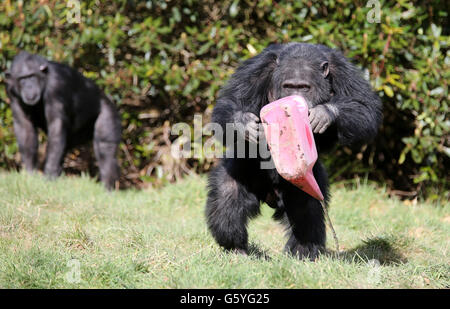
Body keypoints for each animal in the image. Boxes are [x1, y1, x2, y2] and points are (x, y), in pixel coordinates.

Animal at [4, 50, 121, 189]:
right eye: (22, 79)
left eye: (32, 76)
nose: (29, 86)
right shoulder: (10, 90)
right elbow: (24, 127)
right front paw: (30, 173)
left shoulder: (56, 85)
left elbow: (56, 125)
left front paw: (48, 175)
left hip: (108, 113)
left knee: (105, 148)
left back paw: (107, 187)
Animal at [206, 43, 382, 258]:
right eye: (290, 86)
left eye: (304, 87)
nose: (296, 97)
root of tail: (270, 196)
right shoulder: (256, 69)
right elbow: (229, 102)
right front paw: (244, 124)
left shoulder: (343, 70)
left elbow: (365, 108)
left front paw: (325, 113)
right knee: (227, 195)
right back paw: (236, 248)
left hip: (304, 182)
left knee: (307, 208)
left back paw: (303, 251)